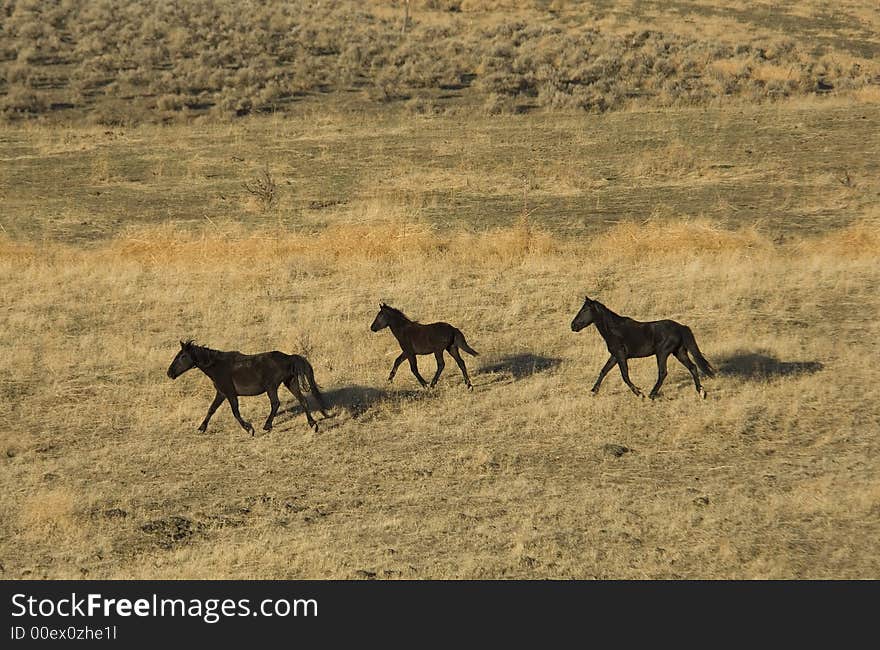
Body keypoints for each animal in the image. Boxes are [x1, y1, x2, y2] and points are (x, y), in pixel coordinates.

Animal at [167, 336, 328, 432]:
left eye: (182, 356)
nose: (169, 373)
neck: (217, 366)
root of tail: (289, 357)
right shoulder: (221, 393)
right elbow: (211, 409)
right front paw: (201, 427)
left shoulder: (230, 394)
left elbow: (235, 412)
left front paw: (249, 429)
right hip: (290, 383)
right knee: (302, 400)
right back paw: (313, 424)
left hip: (271, 387)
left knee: (276, 403)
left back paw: (267, 426)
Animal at [572, 296, 716, 398]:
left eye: (584, 310)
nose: (573, 326)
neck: (614, 330)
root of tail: (680, 327)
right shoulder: (614, 355)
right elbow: (604, 371)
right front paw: (593, 391)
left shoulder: (620, 355)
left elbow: (625, 375)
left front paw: (639, 393)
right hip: (679, 352)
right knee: (693, 367)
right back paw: (701, 392)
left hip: (662, 353)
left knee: (663, 372)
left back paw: (651, 394)